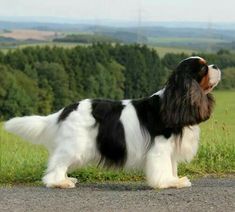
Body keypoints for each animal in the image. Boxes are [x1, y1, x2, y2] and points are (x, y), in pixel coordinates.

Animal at [4, 56, 220, 189]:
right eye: (203, 68)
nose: (216, 66)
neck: (174, 99)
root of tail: (65, 110)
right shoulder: (159, 148)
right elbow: (162, 167)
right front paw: (167, 183)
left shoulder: (171, 149)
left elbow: (171, 166)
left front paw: (175, 180)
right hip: (75, 145)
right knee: (56, 166)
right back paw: (59, 182)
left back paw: (66, 178)